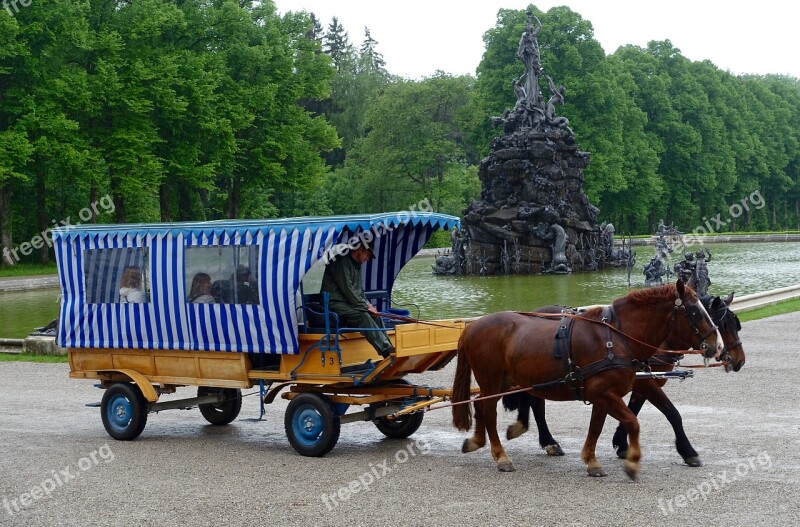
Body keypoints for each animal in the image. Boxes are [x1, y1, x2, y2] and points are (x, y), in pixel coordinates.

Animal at [454, 282, 720, 480]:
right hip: (492, 379)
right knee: (490, 411)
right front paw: (632, 461)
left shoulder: (606, 393)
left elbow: (598, 426)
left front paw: (592, 459)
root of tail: (472, 327)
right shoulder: (605, 393)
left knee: (482, 405)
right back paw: (501, 456)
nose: (717, 346)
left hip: (502, 381)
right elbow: (633, 422)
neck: (617, 338)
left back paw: (477, 441)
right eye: (695, 312)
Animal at [504, 292, 748, 470]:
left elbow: (635, 409)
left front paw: (621, 442)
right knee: (536, 403)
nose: (739, 360)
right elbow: (671, 413)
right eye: (724, 324)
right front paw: (687, 451)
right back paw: (548, 440)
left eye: (736, 325)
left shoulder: (642, 381)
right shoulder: (644, 382)